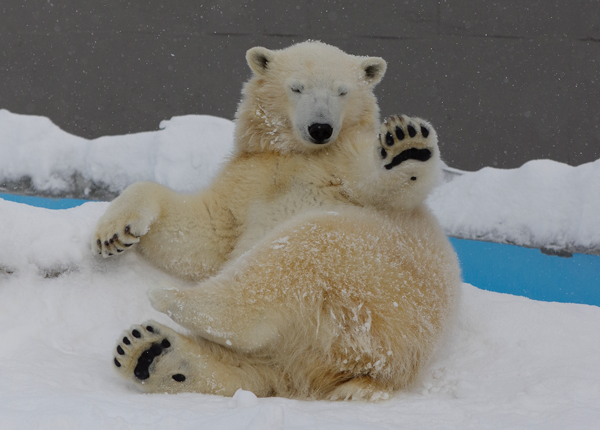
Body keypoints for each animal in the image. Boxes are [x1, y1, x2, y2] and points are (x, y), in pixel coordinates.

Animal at [94, 42, 462, 402]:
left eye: (341, 91)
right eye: (297, 87)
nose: (320, 129)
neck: (299, 154)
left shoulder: (344, 166)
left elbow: (386, 186)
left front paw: (407, 145)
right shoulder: (249, 180)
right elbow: (205, 235)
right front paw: (113, 235)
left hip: (379, 287)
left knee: (298, 255)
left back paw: (174, 301)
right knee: (252, 367)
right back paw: (149, 353)